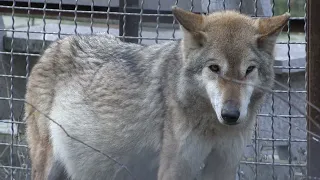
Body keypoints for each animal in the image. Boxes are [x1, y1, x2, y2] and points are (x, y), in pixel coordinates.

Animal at [25, 5, 290, 180]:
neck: (213, 126)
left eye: (249, 70)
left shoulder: (223, 167)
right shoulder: (175, 169)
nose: (231, 115)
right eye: (214, 68)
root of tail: (54, 45)